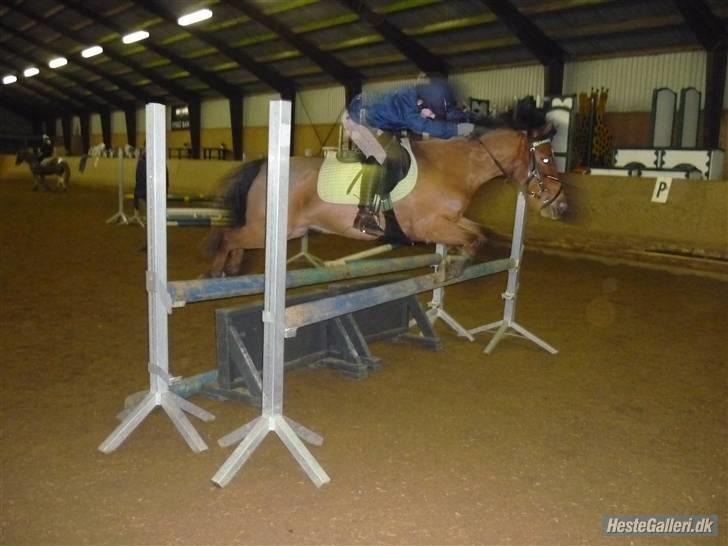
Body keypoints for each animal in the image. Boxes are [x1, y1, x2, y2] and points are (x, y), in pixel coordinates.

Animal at [206, 105, 568, 276]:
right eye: (546, 158)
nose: (562, 207)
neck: (455, 166)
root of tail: (265, 165)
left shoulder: (449, 220)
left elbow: (479, 233)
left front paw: (454, 260)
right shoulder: (428, 227)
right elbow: (473, 240)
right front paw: (456, 264)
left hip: (285, 231)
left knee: (235, 239)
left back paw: (232, 270)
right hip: (271, 229)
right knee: (228, 237)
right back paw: (215, 273)